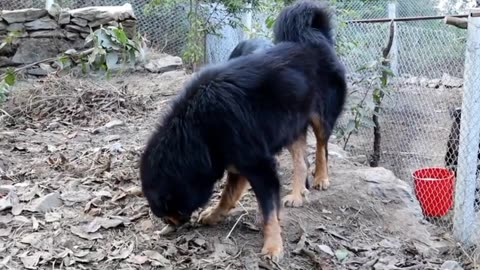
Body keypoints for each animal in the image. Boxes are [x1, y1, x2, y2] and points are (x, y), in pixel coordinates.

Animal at [139, 0, 344, 262]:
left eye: (166, 209)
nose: (169, 226)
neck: (198, 129)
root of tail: (318, 41)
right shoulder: (237, 162)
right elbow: (228, 196)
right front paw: (214, 215)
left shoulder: (259, 166)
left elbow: (268, 210)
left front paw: (273, 245)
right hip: (290, 123)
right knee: (301, 161)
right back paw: (298, 195)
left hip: (320, 116)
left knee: (321, 147)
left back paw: (321, 178)